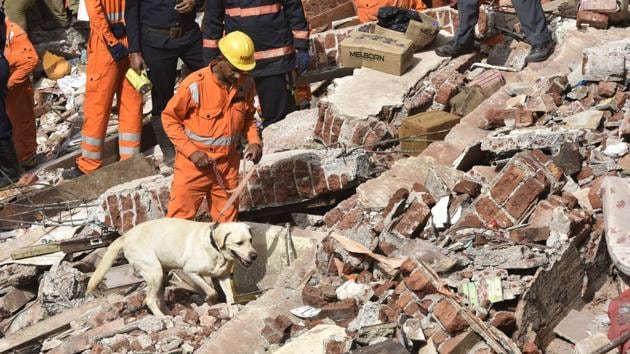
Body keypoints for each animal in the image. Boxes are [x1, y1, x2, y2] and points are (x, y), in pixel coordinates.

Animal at [86, 217, 256, 316]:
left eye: (251, 240)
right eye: (239, 243)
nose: (254, 256)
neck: (213, 244)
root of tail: (126, 236)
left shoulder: (223, 276)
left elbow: (230, 295)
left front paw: (233, 309)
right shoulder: (191, 271)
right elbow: (211, 291)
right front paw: (209, 298)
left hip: (161, 276)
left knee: (159, 300)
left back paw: (170, 315)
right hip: (155, 273)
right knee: (150, 300)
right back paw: (165, 321)